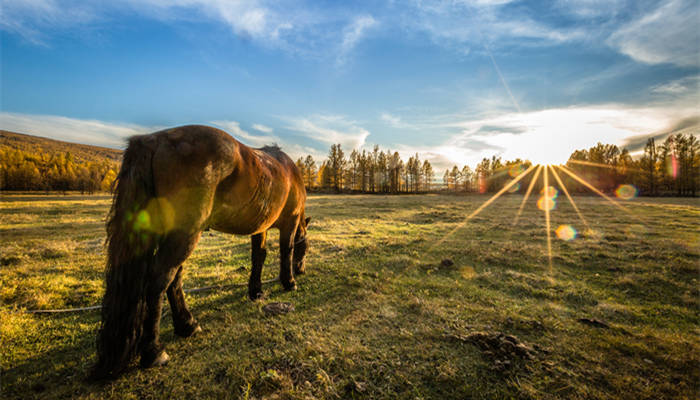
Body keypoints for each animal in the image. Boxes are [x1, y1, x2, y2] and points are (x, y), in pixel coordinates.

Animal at [91, 124, 310, 378]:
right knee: (159, 280)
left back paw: (187, 325)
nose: (301, 270)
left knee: (173, 279)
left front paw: (256, 291)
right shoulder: (290, 222)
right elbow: (286, 250)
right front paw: (289, 282)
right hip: (185, 235)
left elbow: (259, 257)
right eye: (306, 249)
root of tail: (154, 140)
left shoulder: (260, 227)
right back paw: (154, 351)